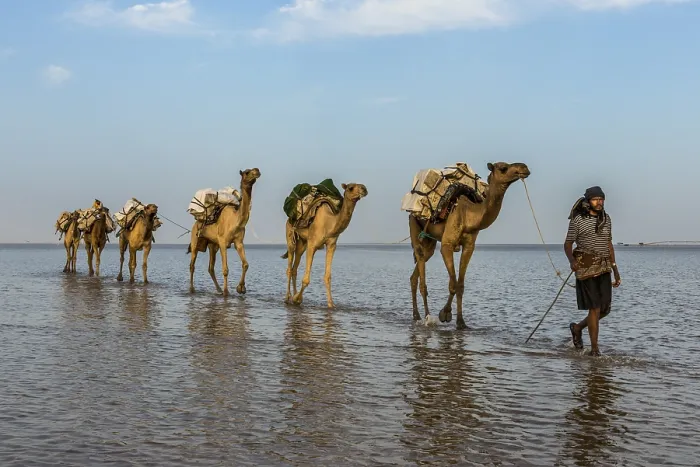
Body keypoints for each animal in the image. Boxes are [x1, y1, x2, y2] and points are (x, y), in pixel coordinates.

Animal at [188, 168, 261, 296]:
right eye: (247, 172)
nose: (257, 171)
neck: (235, 221)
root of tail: (196, 223)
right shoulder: (222, 242)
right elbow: (225, 269)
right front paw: (227, 292)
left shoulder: (238, 242)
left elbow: (245, 264)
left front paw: (241, 288)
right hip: (195, 239)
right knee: (192, 265)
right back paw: (192, 289)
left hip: (212, 245)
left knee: (210, 267)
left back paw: (219, 290)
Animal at [409, 162, 530, 329]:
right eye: (503, 168)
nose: (524, 168)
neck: (469, 215)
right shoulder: (447, 245)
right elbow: (453, 284)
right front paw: (445, 314)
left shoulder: (469, 246)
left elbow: (460, 285)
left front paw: (461, 322)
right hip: (414, 225)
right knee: (422, 276)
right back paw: (426, 317)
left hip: (430, 241)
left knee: (416, 274)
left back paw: (417, 316)